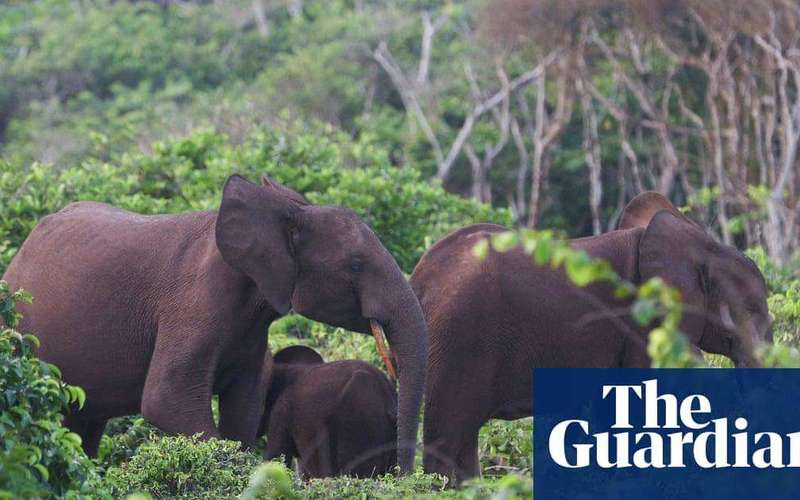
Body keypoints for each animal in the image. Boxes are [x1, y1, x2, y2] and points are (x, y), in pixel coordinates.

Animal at [409, 192, 772, 481]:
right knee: (449, 436)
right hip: (458, 336)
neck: (699, 244)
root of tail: (419, 277)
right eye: (750, 309)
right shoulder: (642, 324)